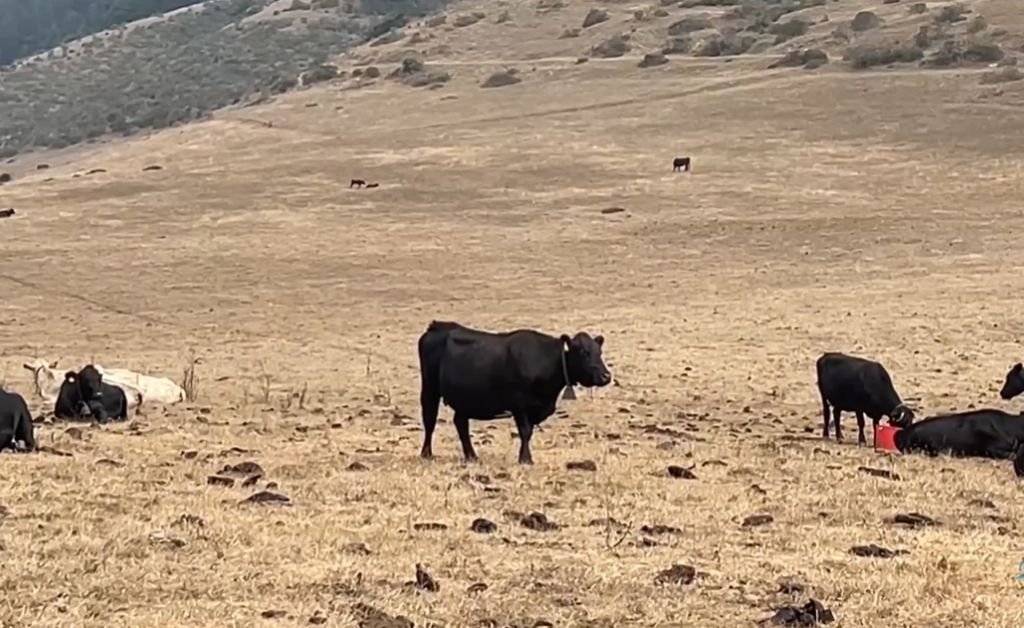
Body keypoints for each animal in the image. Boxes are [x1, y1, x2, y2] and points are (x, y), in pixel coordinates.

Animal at [417, 320, 612, 464]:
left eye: (599, 351)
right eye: (584, 352)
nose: (606, 376)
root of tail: (436, 327)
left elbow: (529, 432)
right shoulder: (520, 404)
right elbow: (525, 431)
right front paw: (525, 459)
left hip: (464, 398)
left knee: (460, 423)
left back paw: (471, 456)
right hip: (429, 389)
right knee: (430, 420)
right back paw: (427, 454)